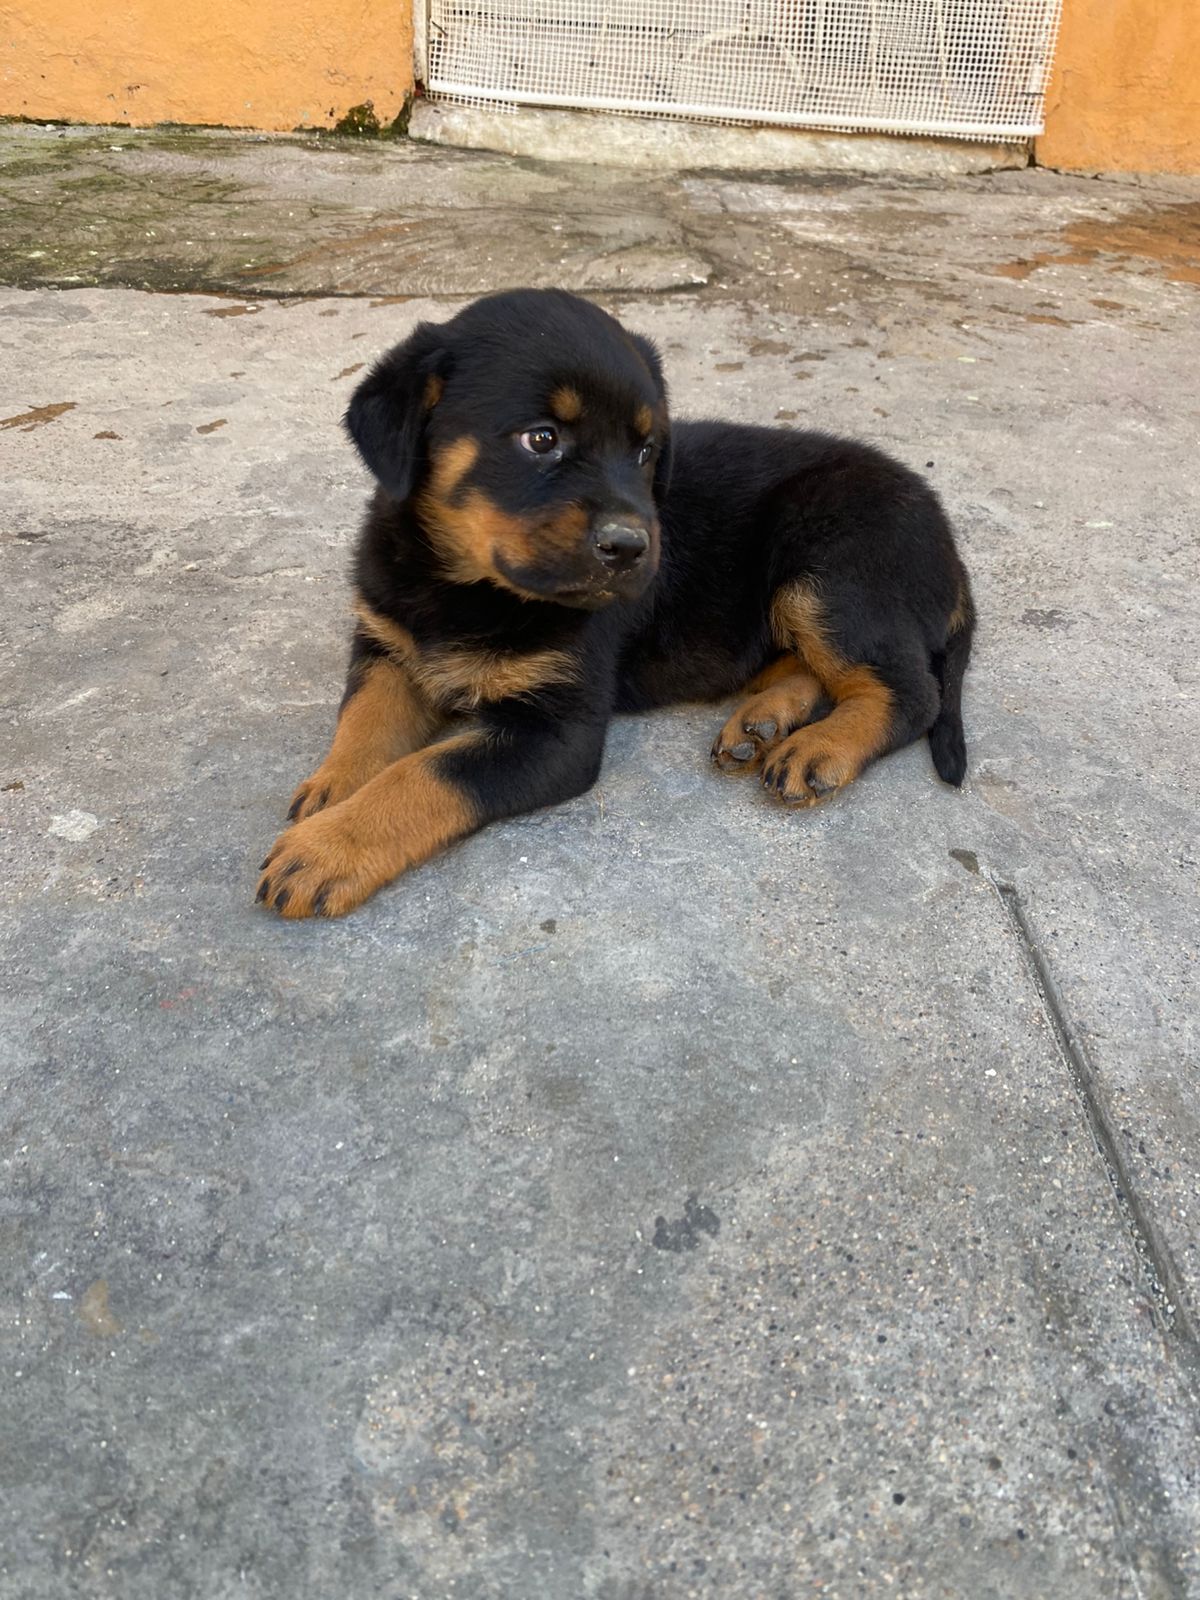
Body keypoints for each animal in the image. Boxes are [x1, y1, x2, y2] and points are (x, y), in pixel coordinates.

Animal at [259, 281, 972, 921]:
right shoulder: (387, 645)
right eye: (541, 439)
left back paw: (818, 749)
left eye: (646, 450)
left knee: (910, 693)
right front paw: (333, 789)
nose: (632, 548)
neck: (463, 585)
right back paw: (763, 722)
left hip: (828, 568)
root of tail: (948, 541)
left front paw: (324, 850)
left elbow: (426, 775)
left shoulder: (557, 731)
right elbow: (364, 719)